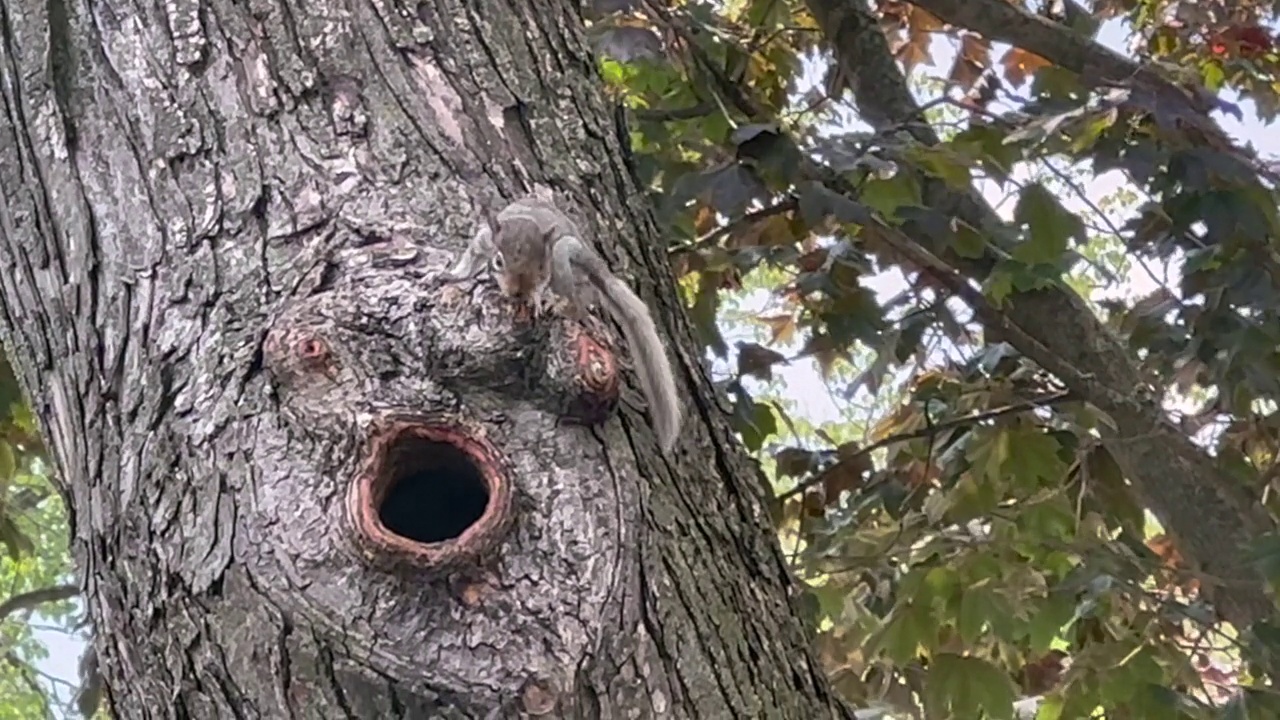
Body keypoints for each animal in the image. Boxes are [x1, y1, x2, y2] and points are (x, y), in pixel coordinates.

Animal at [448, 193, 680, 445]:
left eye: (541, 266)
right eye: (499, 261)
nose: (517, 293)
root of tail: (599, 271)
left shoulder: (550, 264)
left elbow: (540, 288)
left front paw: (536, 299)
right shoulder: (485, 240)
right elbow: (470, 260)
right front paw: (450, 276)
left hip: (564, 255)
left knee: (575, 306)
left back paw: (558, 304)